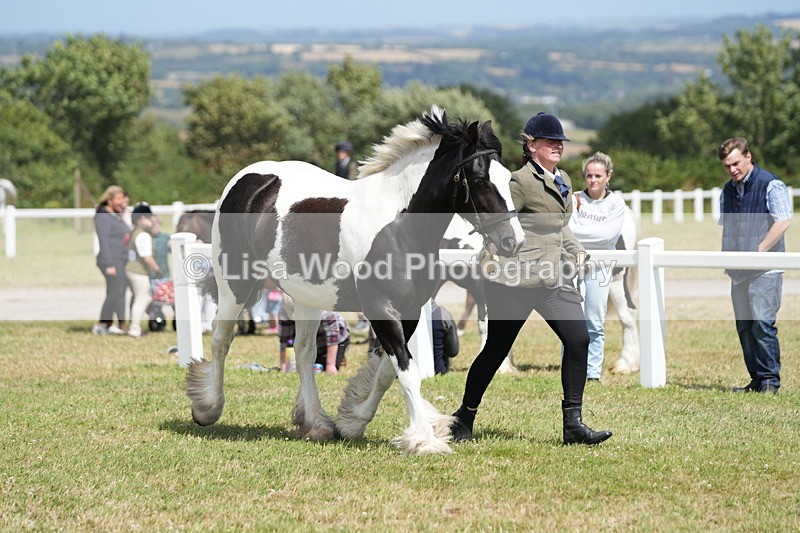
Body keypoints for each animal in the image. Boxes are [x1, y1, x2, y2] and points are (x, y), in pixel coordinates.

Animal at [185, 107, 525, 455]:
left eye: (508, 179)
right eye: (480, 179)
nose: (513, 242)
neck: (399, 226)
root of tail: (249, 178)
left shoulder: (409, 311)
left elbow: (388, 372)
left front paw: (353, 421)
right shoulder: (380, 307)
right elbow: (407, 372)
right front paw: (425, 440)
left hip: (306, 297)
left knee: (304, 353)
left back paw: (316, 424)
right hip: (234, 283)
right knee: (221, 338)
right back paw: (208, 408)